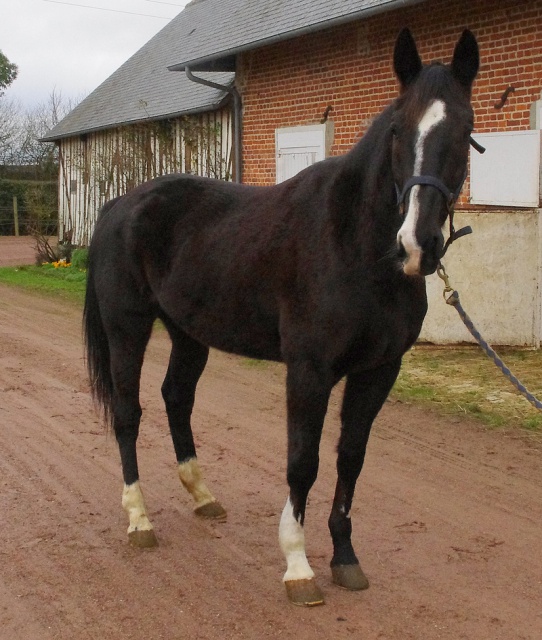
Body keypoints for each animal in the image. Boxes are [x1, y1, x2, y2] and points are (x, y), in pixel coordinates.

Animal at [84, 30, 480, 608]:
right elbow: (303, 461)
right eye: (398, 129)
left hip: (188, 335)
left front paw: (345, 558)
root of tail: (120, 204)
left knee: (176, 398)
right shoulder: (309, 370)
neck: (356, 247)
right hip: (127, 328)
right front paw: (298, 566)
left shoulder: (378, 371)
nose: (417, 245)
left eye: (466, 130)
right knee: (128, 413)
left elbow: (350, 459)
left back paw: (203, 496)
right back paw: (139, 520)